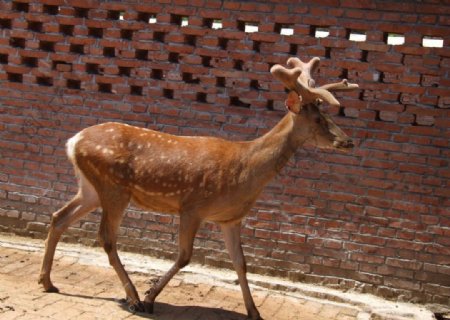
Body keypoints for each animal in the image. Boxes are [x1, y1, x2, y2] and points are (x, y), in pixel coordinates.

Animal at [38, 56, 358, 318]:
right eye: (317, 118)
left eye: (328, 115)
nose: (348, 141)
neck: (244, 172)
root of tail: (73, 141)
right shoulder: (192, 206)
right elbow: (184, 256)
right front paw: (151, 296)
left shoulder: (230, 219)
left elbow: (240, 263)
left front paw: (255, 312)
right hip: (114, 188)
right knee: (106, 238)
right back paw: (134, 298)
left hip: (91, 188)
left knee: (59, 217)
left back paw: (48, 282)